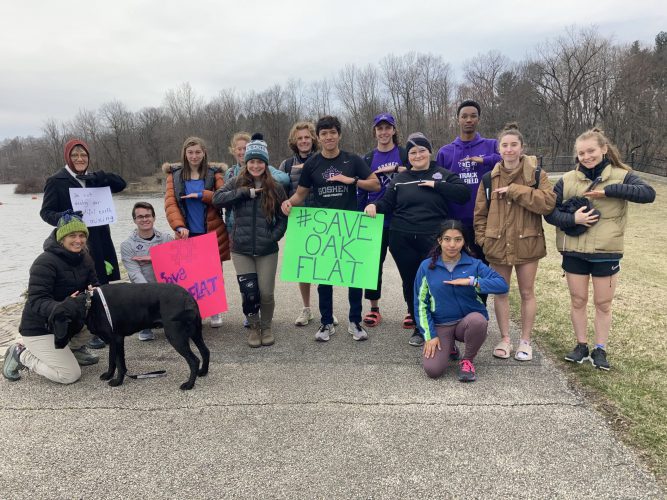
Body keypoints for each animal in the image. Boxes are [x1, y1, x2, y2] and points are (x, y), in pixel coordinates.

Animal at [50, 284, 210, 388]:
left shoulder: (116, 339)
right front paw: (109, 375)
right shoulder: (113, 341)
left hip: (175, 336)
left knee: (194, 360)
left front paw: (117, 382)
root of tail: (188, 296)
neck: (89, 305)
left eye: (57, 328)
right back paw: (203, 372)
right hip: (195, 333)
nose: (55, 346)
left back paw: (189, 384)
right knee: (205, 351)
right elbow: (112, 361)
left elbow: (120, 364)